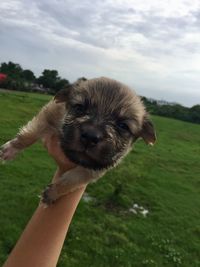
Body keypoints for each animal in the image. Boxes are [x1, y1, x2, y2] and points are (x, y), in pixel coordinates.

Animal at [0, 77, 156, 205]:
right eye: (79, 108)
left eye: (123, 126)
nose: (91, 136)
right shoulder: (49, 114)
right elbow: (29, 135)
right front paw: (11, 149)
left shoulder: (93, 168)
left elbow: (71, 180)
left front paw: (53, 193)